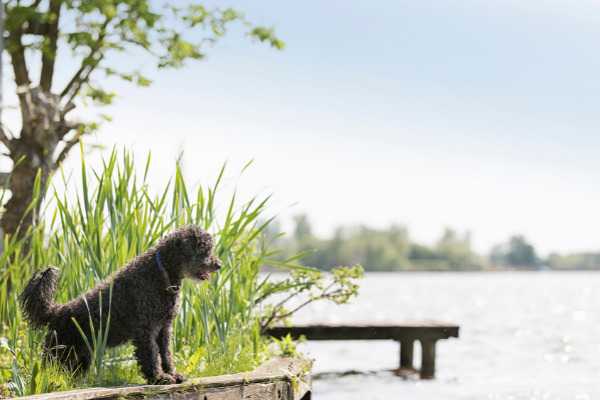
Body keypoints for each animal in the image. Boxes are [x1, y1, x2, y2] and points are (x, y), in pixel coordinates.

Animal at [21, 225, 224, 384]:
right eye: (203, 250)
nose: (219, 265)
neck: (160, 272)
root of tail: (55, 311)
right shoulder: (146, 328)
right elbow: (151, 354)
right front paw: (158, 378)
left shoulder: (164, 328)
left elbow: (166, 354)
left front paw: (172, 374)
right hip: (58, 354)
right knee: (47, 371)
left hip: (80, 356)